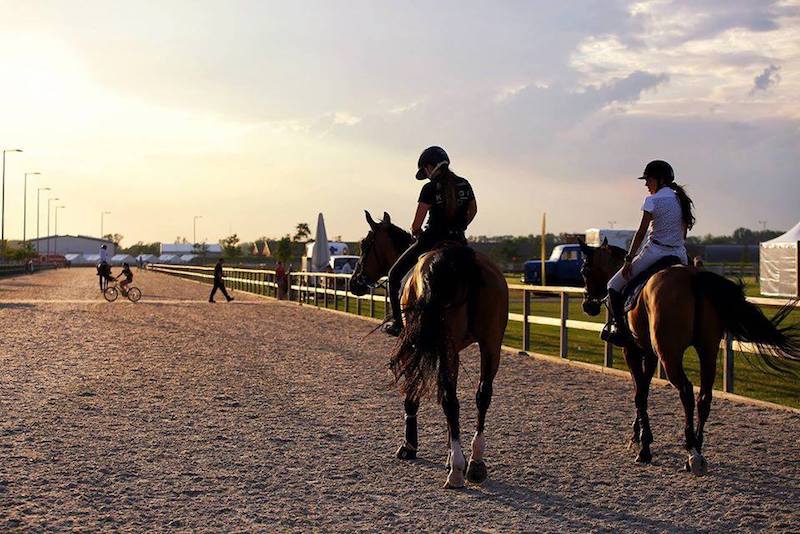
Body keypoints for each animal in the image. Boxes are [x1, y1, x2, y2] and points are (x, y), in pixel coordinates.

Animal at [348, 211, 506, 488]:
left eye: (365, 245)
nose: (355, 283)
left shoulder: (416, 344)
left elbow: (413, 392)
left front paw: (409, 446)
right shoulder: (458, 349)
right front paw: (451, 455)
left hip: (446, 344)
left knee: (451, 400)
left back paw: (456, 472)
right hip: (490, 344)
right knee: (482, 395)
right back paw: (475, 462)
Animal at [580, 241, 796, 476]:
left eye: (584, 271)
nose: (587, 306)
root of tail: (693, 278)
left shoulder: (632, 351)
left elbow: (639, 394)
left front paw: (643, 446)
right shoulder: (650, 353)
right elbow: (644, 390)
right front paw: (638, 436)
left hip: (670, 355)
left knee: (686, 391)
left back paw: (692, 451)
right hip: (707, 350)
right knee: (704, 397)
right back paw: (697, 450)